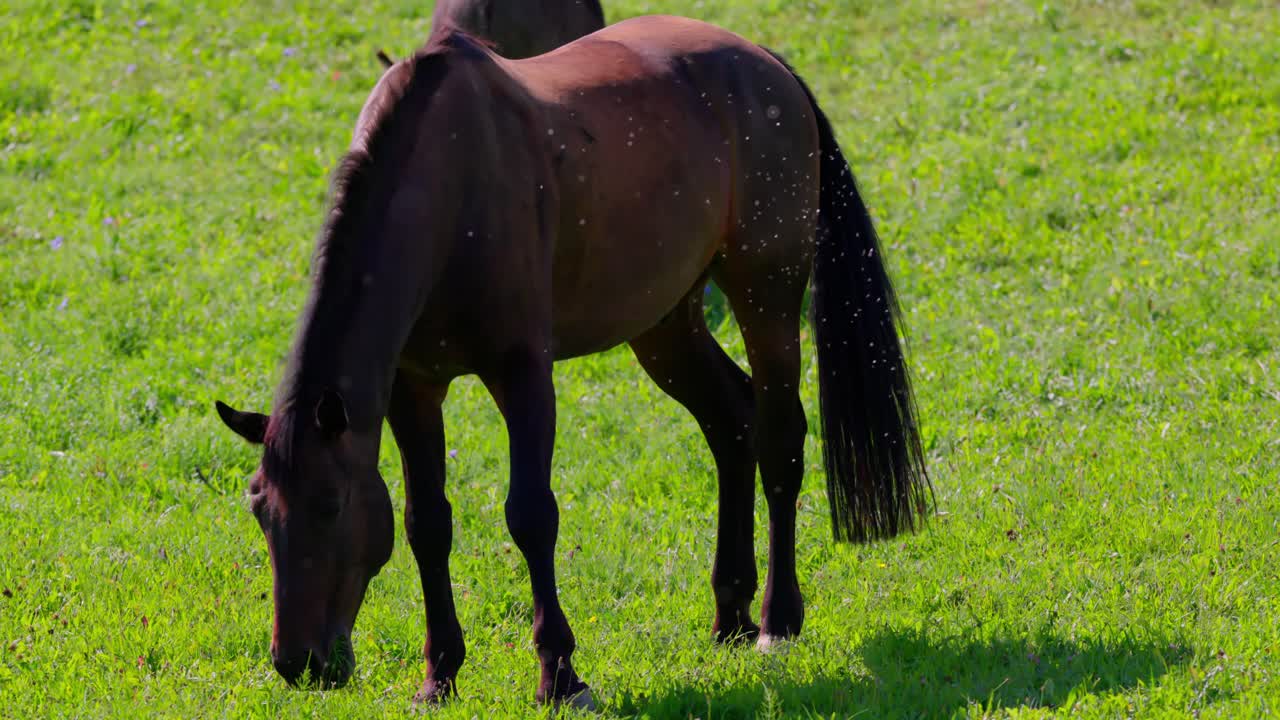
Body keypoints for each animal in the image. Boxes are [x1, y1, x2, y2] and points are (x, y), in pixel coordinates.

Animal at [215, 14, 930, 708]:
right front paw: (438, 676)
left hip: (767, 296)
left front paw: (560, 675)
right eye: (259, 511)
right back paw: (730, 612)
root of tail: (766, 63)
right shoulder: (413, 390)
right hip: (666, 325)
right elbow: (427, 523)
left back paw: (777, 621)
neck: (448, 187)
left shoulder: (523, 373)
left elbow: (531, 515)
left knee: (780, 439)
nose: (297, 664)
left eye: (330, 505)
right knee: (732, 423)